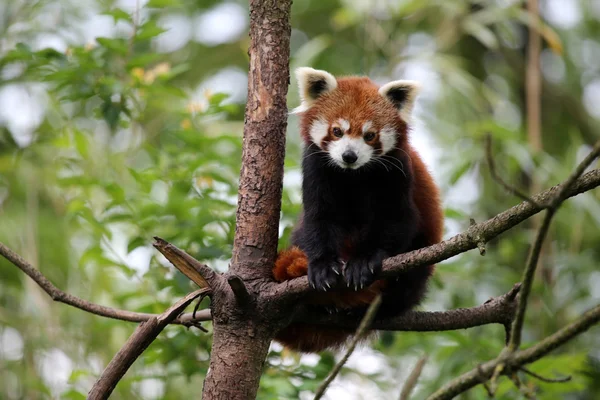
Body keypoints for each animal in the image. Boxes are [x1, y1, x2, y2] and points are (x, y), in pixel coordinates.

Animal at [274, 69, 442, 354]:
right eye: (337, 131)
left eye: (369, 135)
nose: (349, 156)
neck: (353, 175)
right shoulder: (317, 168)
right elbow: (319, 219)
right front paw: (322, 266)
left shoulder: (397, 171)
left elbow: (397, 221)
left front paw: (363, 262)